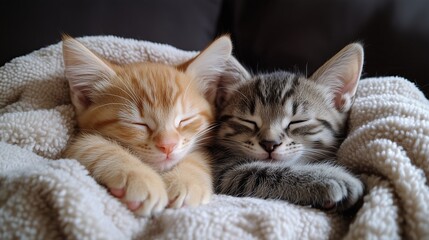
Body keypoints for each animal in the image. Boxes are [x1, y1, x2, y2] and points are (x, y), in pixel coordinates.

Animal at [62, 36, 232, 217]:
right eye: (138, 123)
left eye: (184, 120)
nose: (168, 146)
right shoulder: (72, 147)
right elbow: (95, 146)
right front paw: (141, 178)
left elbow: (198, 156)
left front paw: (186, 181)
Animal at [211, 42, 364, 210]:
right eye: (248, 121)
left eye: (298, 121)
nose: (269, 144)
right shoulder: (221, 170)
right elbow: (257, 171)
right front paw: (331, 177)